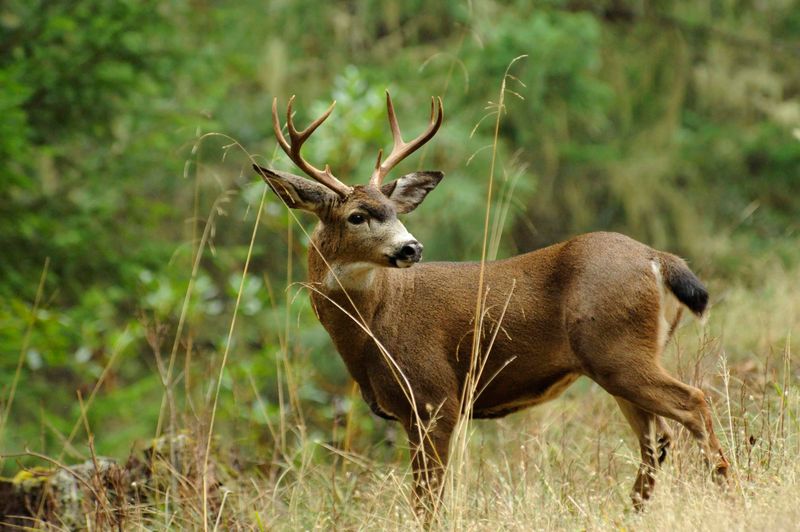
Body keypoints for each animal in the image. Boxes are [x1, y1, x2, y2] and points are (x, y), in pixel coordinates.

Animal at [252, 91, 732, 516]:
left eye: (393, 210)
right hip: (621, 359)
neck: (374, 325)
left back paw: (728, 489)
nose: (411, 248)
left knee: (693, 404)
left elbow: (428, 503)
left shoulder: (435, 398)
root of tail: (658, 259)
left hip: (617, 350)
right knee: (657, 440)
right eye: (357, 216)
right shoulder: (416, 411)